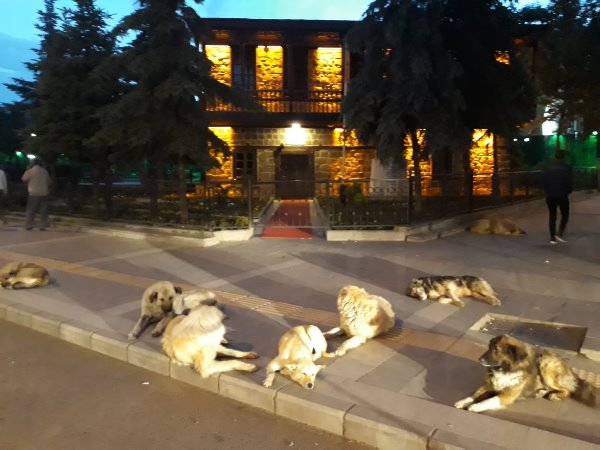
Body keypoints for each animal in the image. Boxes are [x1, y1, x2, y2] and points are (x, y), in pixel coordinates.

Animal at [454, 335, 600, 412]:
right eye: (488, 348)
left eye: (496, 350)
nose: (480, 359)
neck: (506, 369)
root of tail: (569, 369)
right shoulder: (489, 385)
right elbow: (474, 394)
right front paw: (463, 401)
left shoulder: (508, 394)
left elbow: (490, 400)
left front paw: (476, 406)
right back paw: (541, 392)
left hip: (545, 365)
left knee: (569, 390)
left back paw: (555, 395)